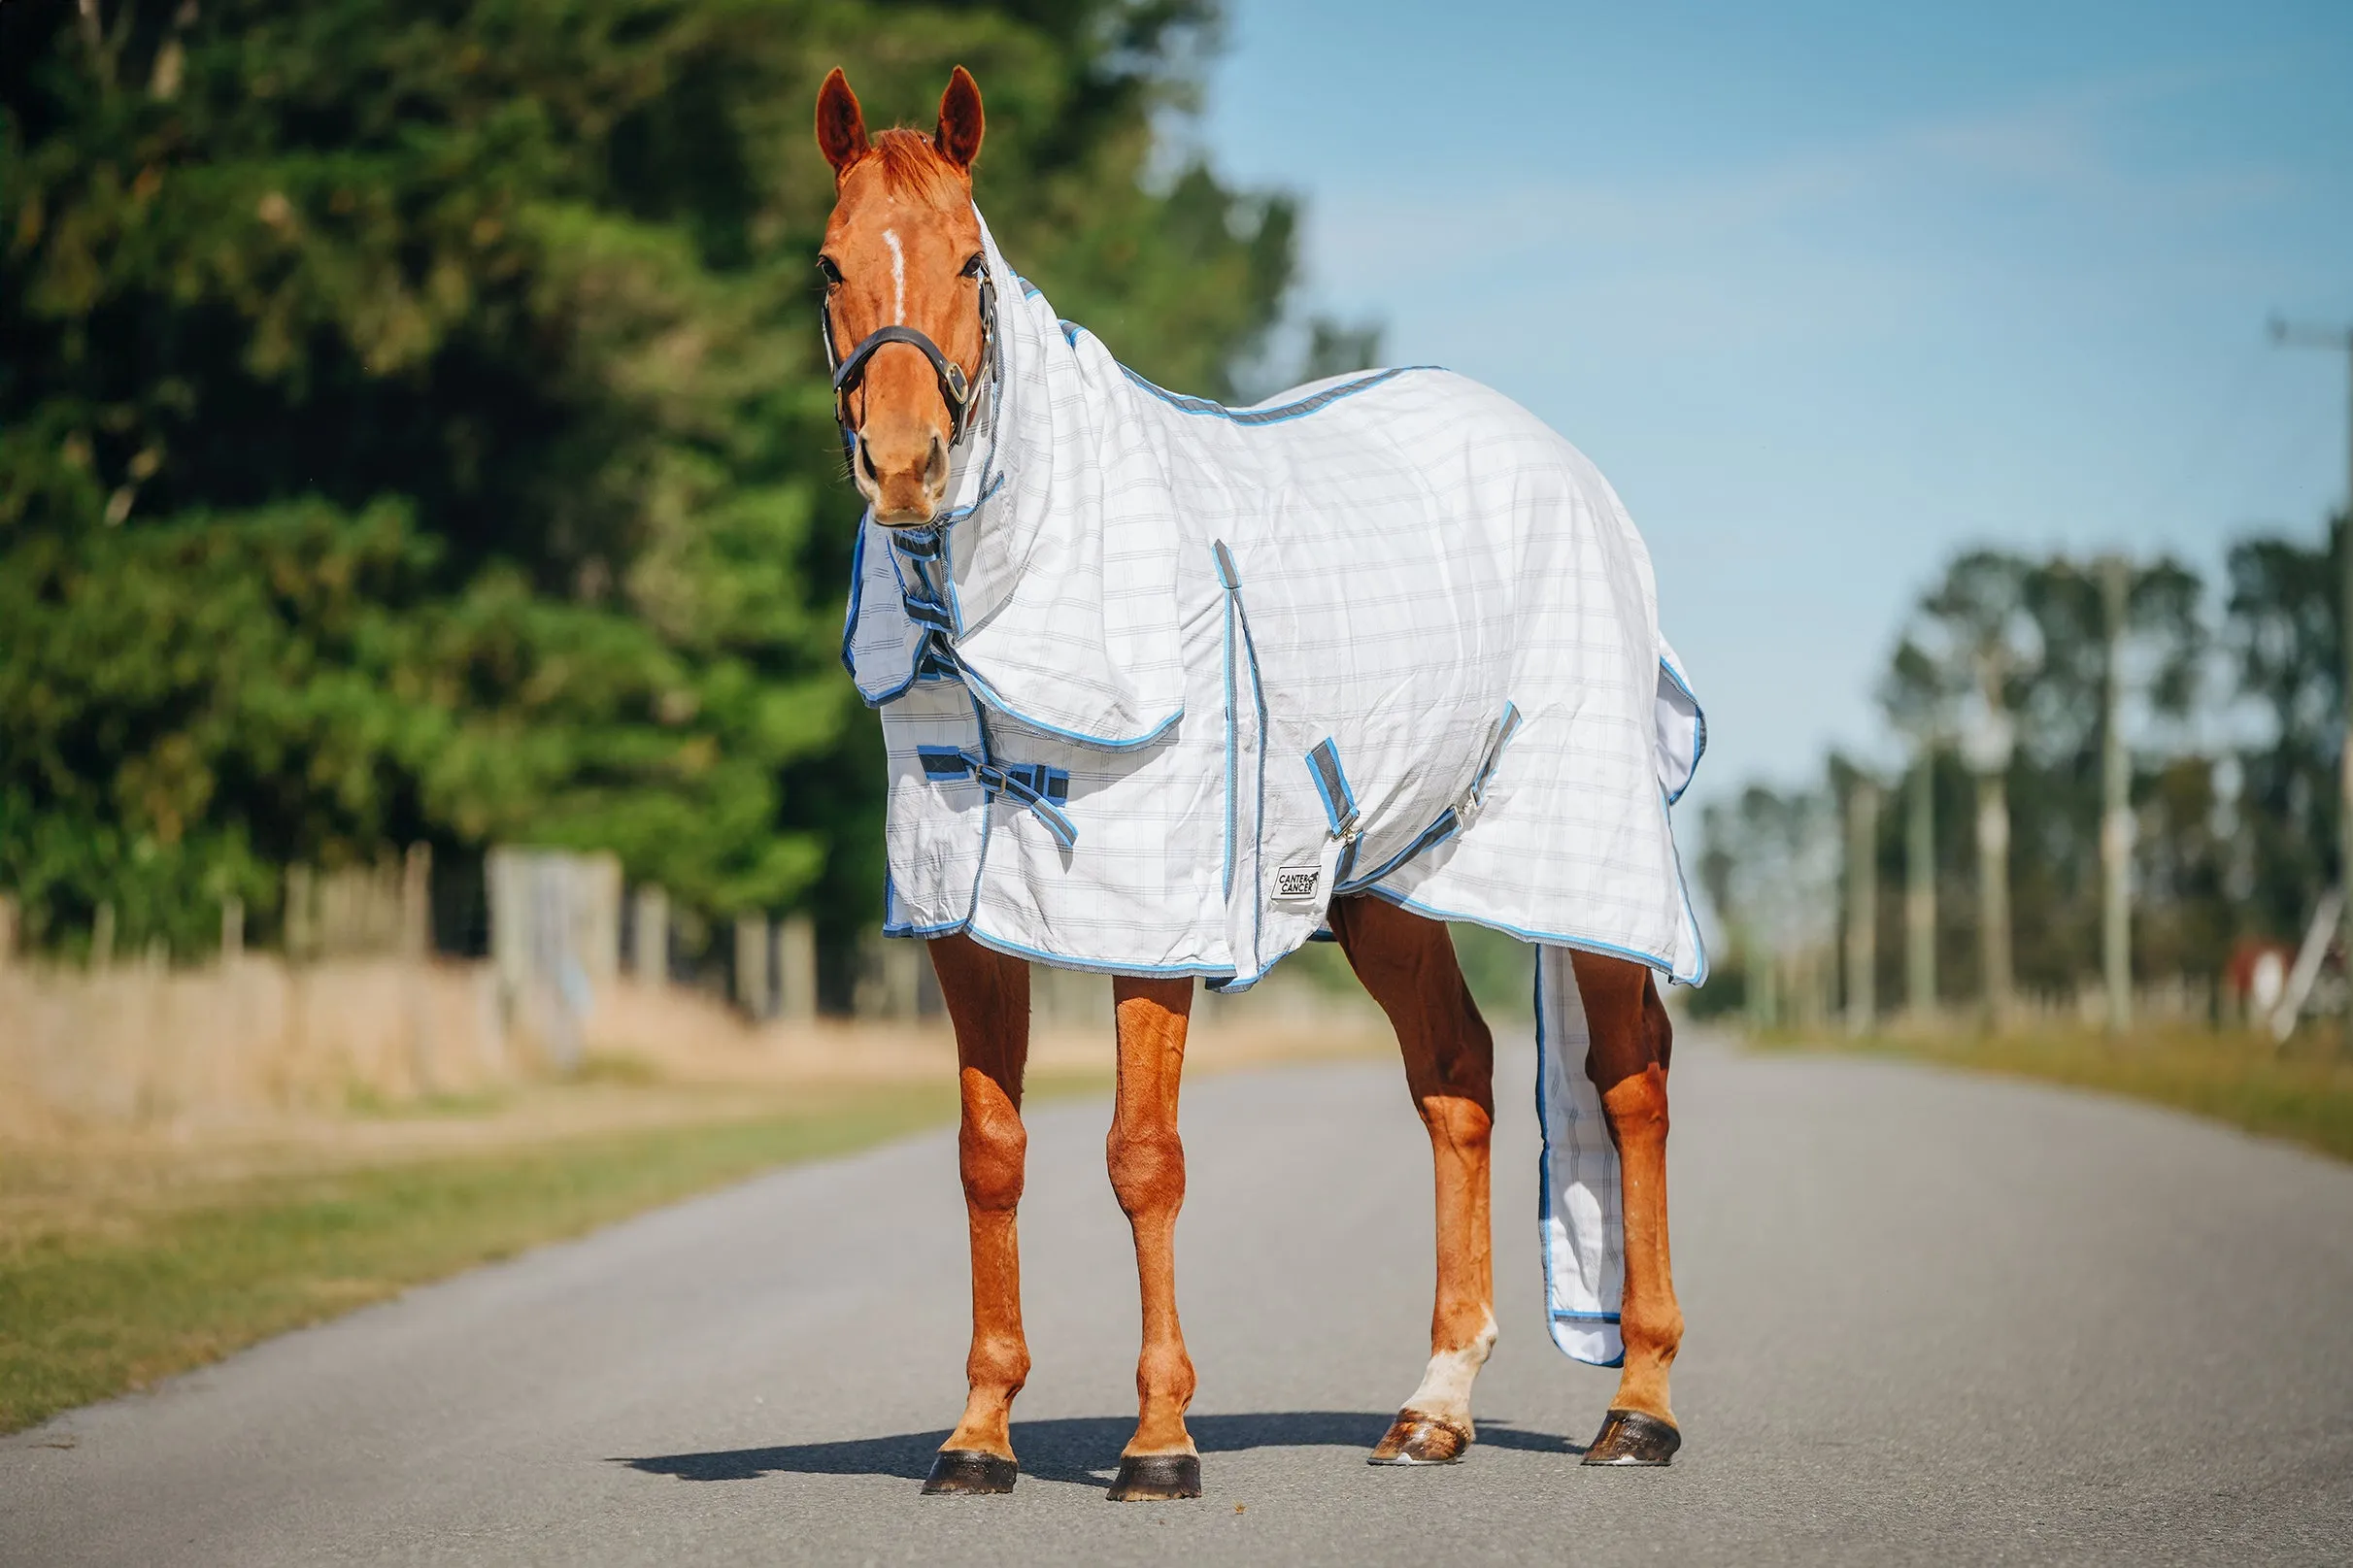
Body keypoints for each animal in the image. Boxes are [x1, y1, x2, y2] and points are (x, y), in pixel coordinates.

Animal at [819, 67, 1684, 1504]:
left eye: (967, 263)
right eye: (830, 264)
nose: (904, 466)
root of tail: (1567, 468)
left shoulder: (1153, 920)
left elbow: (1141, 1156)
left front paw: (1159, 1441)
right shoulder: (963, 924)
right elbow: (988, 1158)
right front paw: (977, 1434)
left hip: (1585, 863)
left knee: (1630, 1085)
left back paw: (1641, 1403)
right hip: (1385, 890)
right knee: (1456, 1075)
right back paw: (1433, 1405)